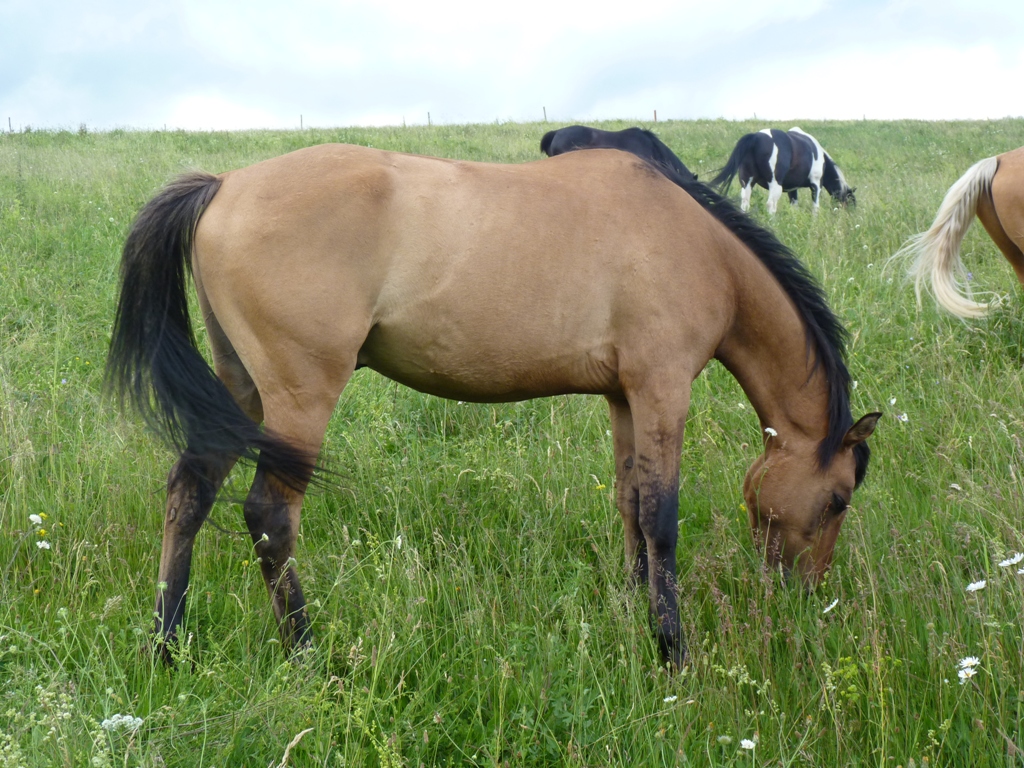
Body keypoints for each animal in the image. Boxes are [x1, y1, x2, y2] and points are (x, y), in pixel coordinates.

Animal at [110, 144, 880, 667]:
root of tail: (223, 186)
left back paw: (165, 646)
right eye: (838, 499)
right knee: (269, 518)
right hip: (300, 398)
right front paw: (671, 649)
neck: (697, 246)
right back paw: (308, 656)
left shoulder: (624, 397)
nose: (806, 596)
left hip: (239, 389)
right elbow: (661, 520)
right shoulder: (663, 389)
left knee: (189, 493)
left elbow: (631, 504)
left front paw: (631, 609)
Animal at [708, 128, 851, 215]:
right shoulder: (816, 185)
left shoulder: (792, 189)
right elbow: (815, 207)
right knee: (771, 205)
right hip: (775, 185)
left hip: (747, 182)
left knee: (745, 202)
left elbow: (794, 206)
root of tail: (756, 137)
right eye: (850, 201)